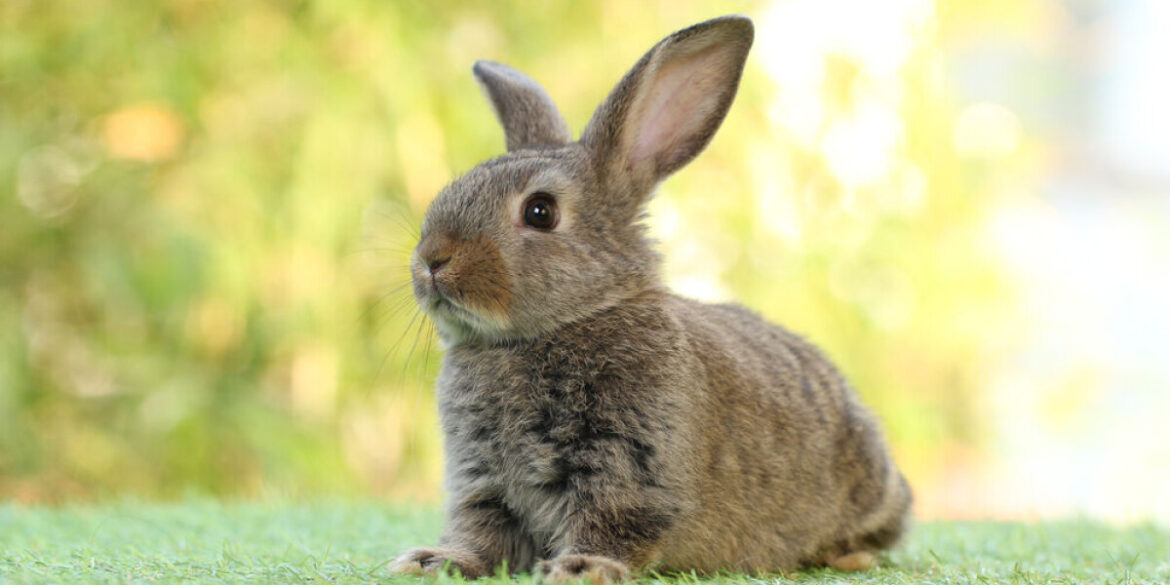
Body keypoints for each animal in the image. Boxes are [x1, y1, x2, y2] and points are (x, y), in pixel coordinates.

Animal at [388, 15, 912, 583]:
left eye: (540, 212)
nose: (432, 260)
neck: (563, 323)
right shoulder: (483, 480)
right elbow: (482, 533)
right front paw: (432, 561)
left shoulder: (630, 465)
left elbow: (612, 520)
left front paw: (580, 568)